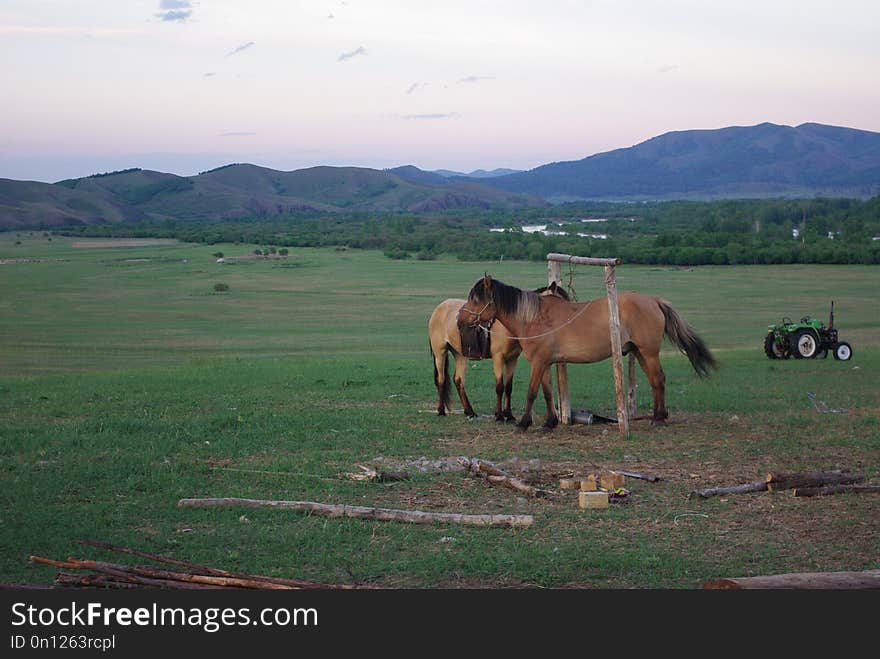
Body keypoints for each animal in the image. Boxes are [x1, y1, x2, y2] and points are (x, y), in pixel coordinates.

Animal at [430, 284, 568, 422]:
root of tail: (439, 308)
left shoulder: (512, 359)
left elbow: (508, 387)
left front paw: (509, 415)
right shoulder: (498, 358)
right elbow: (499, 386)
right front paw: (500, 416)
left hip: (460, 355)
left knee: (458, 380)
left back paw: (469, 411)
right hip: (440, 352)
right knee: (441, 379)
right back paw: (441, 410)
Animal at [458, 276, 720, 430]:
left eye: (476, 299)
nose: (460, 319)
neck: (534, 317)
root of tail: (653, 301)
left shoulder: (539, 362)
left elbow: (532, 393)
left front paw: (523, 423)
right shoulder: (544, 363)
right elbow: (547, 393)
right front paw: (550, 422)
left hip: (649, 352)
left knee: (658, 380)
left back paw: (658, 418)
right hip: (640, 353)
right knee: (657, 381)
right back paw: (659, 415)